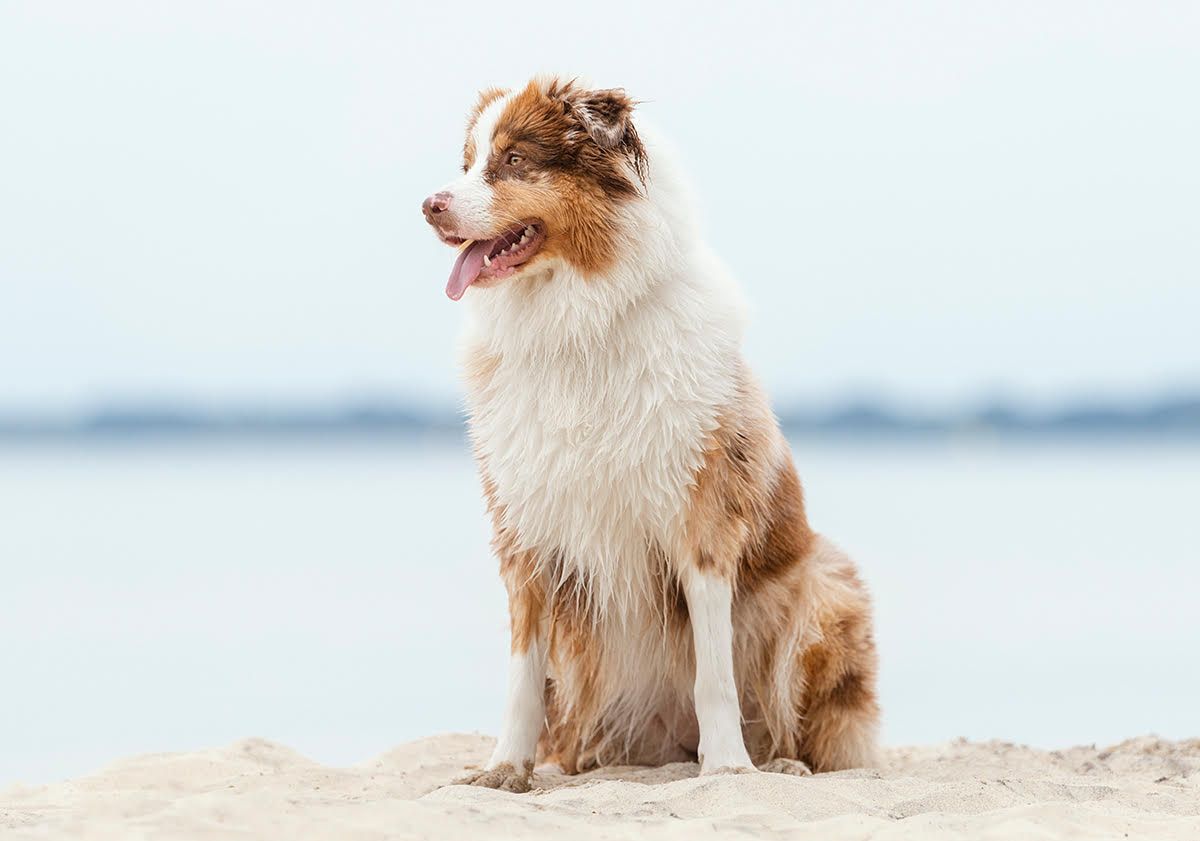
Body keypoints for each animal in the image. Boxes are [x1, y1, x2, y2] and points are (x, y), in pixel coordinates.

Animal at [424, 75, 883, 791]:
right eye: (468, 162)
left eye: (515, 161)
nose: (429, 205)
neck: (575, 326)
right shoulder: (525, 528)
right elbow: (522, 674)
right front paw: (505, 769)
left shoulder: (703, 521)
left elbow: (715, 676)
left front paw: (728, 767)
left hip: (827, 588)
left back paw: (779, 760)